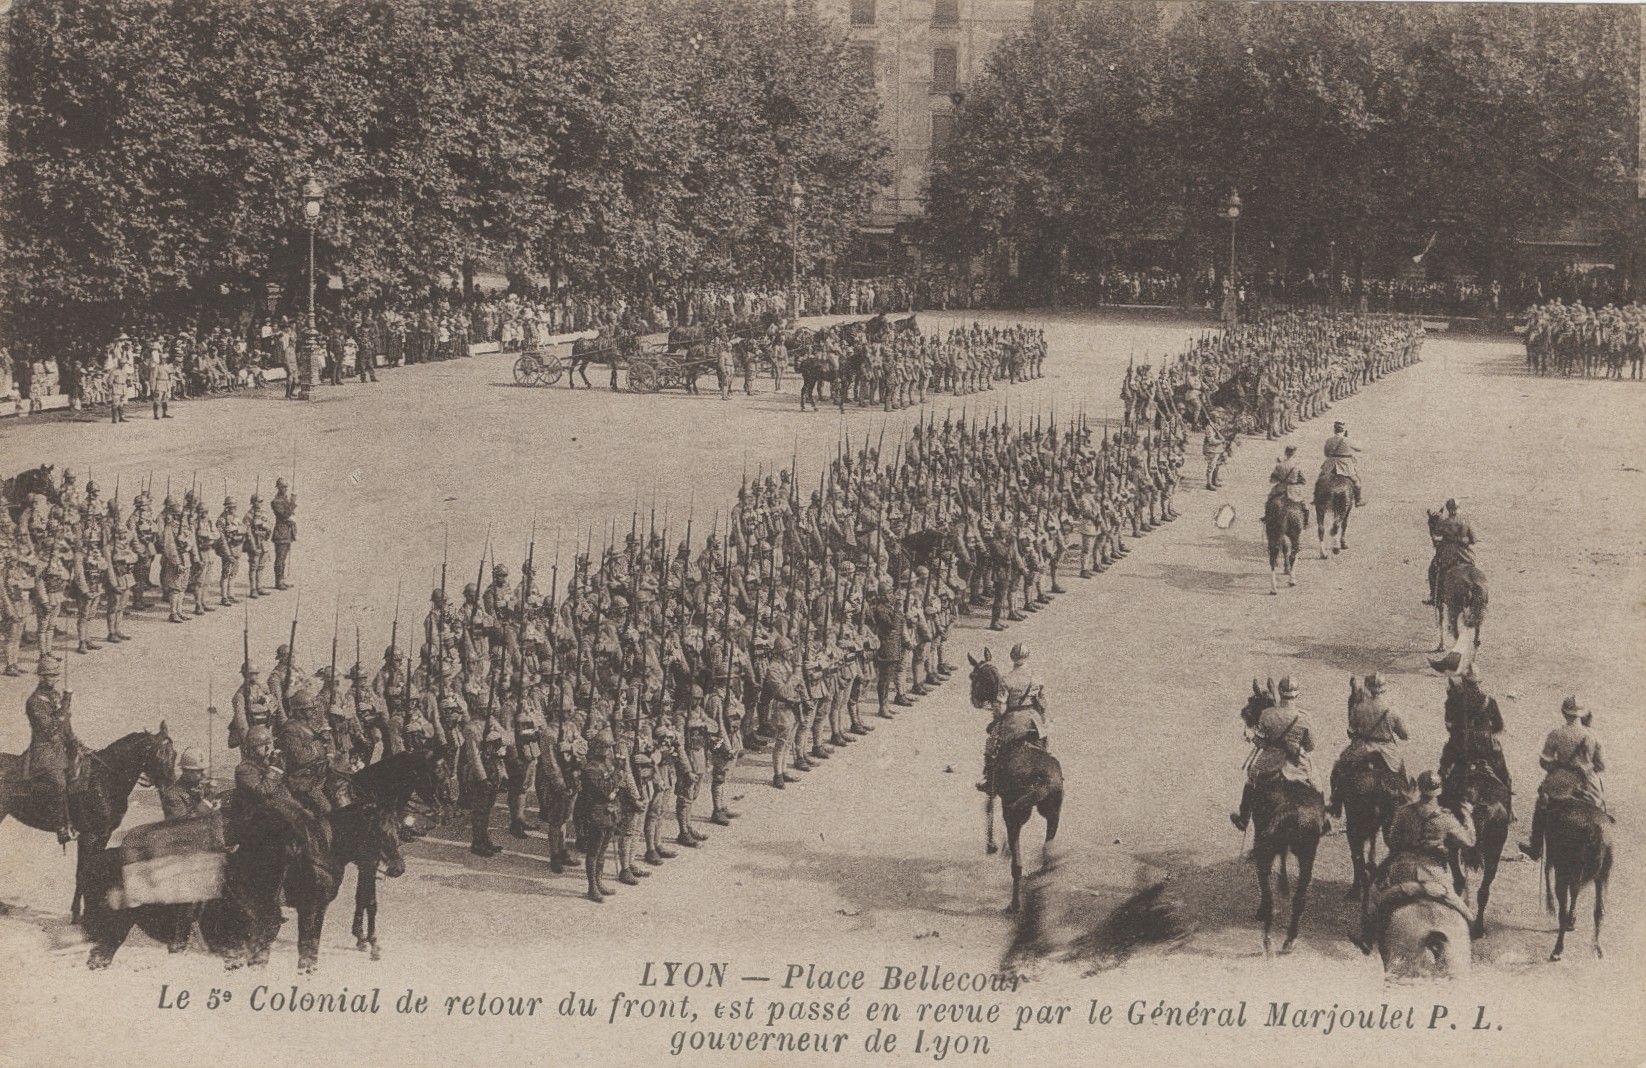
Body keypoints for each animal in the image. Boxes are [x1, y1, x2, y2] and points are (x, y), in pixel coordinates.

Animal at [0, 720, 176, 921]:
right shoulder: (90, 835)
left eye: (174, 754)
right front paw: (78, 915)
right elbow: (83, 873)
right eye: (159, 753)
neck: (105, 779)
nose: (170, 786)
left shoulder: (102, 835)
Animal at [967, 645, 1060, 914]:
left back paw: (1015, 904)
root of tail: (1043, 778)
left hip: (1017, 814)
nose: (974, 700)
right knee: (1048, 851)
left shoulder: (994, 785)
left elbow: (987, 807)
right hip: (1053, 812)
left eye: (974, 677)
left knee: (1017, 866)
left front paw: (992, 845)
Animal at [1237, 677, 1323, 954]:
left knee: (1268, 892)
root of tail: (1292, 812)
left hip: (1266, 848)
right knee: (1299, 897)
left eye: (1254, 700)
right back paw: (1289, 939)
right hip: (1307, 854)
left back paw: (1267, 939)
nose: (1243, 713)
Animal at [1547, 799, 1613, 967]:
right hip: (1603, 874)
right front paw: (1572, 921)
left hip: (1566, 872)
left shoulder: (1557, 865)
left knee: (1562, 911)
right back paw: (1597, 949)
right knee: (1599, 910)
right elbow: (1575, 893)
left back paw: (1557, 951)